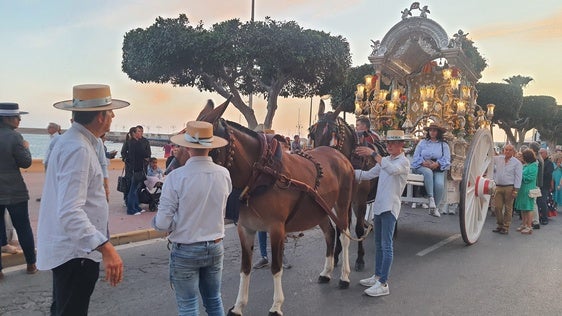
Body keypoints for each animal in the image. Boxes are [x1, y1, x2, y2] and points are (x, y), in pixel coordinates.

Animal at [197, 99, 354, 316]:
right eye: (312, 133)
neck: (261, 173)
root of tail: (338, 155)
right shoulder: (245, 228)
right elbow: (245, 268)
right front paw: (238, 306)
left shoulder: (277, 229)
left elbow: (276, 266)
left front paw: (276, 305)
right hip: (320, 210)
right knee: (330, 234)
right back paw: (326, 272)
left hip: (342, 205)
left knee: (344, 236)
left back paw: (345, 276)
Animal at [306, 100, 384, 270]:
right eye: (313, 134)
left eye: (332, 135)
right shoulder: (341, 201)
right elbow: (340, 226)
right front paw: (335, 256)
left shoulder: (359, 201)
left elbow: (358, 228)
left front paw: (360, 258)